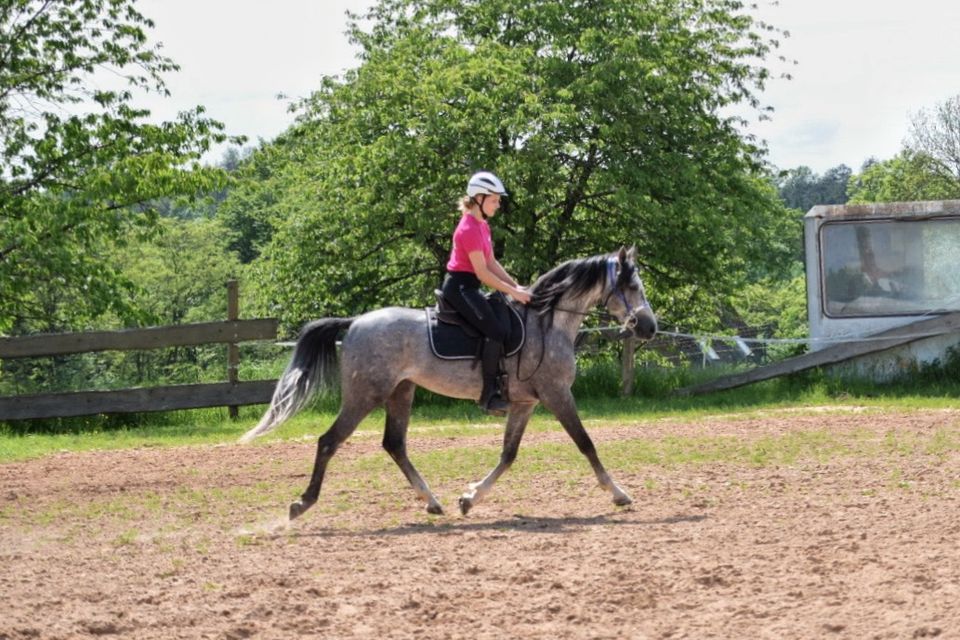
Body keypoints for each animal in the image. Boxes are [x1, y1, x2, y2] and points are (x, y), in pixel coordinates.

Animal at [242, 245, 660, 520]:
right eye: (633, 288)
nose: (649, 327)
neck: (548, 323)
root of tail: (356, 322)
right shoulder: (557, 395)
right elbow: (586, 444)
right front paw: (619, 494)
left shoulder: (526, 403)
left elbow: (508, 455)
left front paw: (470, 497)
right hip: (366, 395)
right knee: (330, 441)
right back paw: (302, 503)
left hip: (401, 392)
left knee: (394, 444)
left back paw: (432, 501)